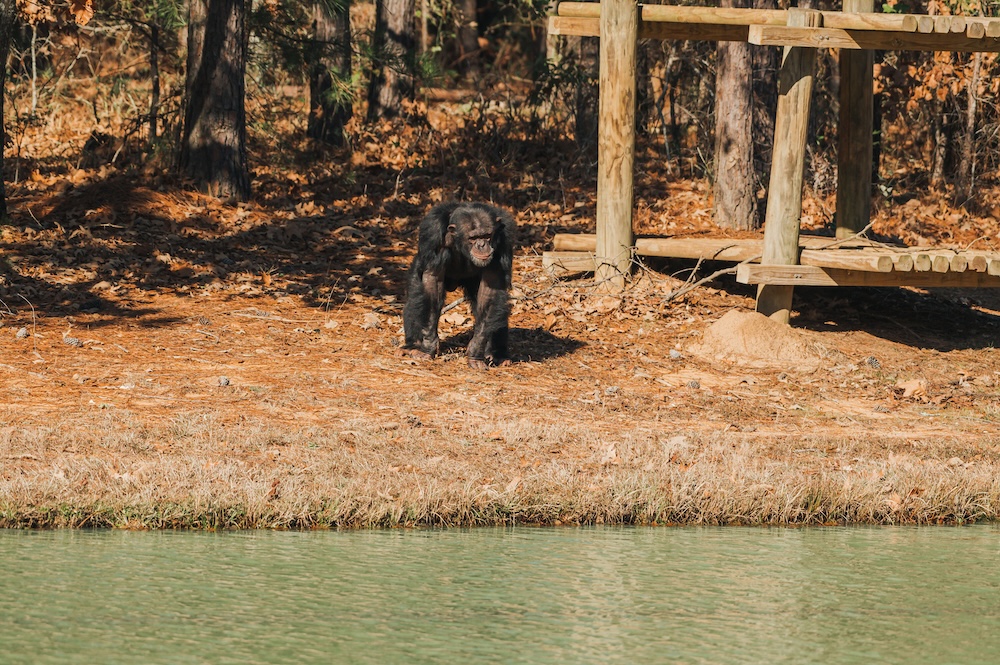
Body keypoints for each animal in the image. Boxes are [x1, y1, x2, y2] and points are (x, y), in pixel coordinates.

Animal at [398, 202, 516, 368]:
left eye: (487, 235)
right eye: (473, 238)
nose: (482, 245)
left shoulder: (503, 239)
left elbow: (490, 290)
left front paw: (475, 351)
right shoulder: (432, 233)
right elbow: (432, 281)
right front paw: (428, 346)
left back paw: (499, 355)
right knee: (415, 298)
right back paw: (412, 346)